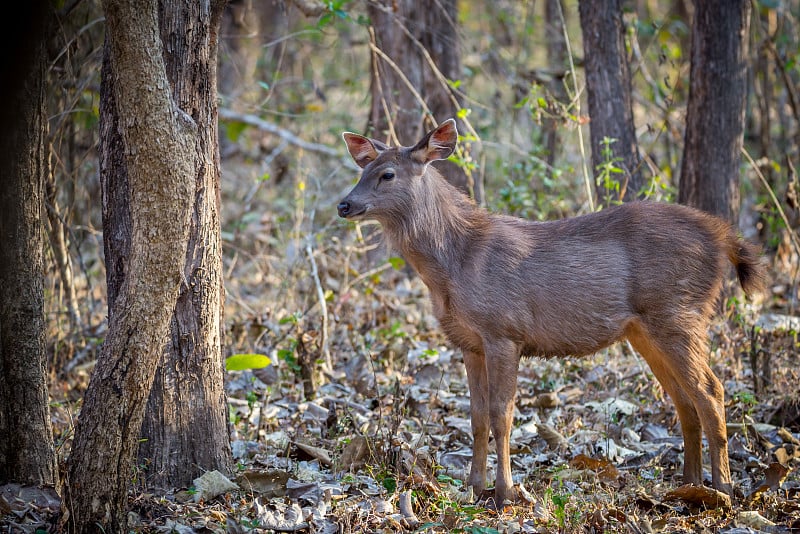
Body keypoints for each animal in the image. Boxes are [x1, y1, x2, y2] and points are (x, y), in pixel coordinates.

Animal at [334, 118, 764, 506]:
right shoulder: (469, 342)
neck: (454, 264)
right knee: (683, 399)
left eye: (387, 174)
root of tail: (724, 238)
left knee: (711, 391)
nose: (344, 204)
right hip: (648, 329)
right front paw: (472, 488)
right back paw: (689, 487)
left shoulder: (503, 331)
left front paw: (505, 493)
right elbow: (475, 416)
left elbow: (502, 415)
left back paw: (724, 490)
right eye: (362, 169)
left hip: (679, 313)